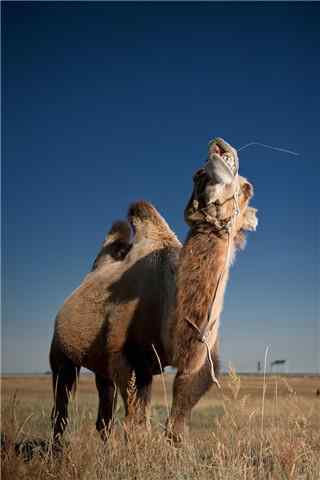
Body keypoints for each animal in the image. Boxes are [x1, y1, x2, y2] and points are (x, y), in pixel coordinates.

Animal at [50, 137, 258, 440]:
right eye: (197, 175)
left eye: (247, 188)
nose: (219, 149)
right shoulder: (128, 359)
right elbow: (136, 427)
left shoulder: (196, 368)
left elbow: (176, 427)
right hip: (60, 352)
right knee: (61, 407)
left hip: (102, 365)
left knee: (104, 415)